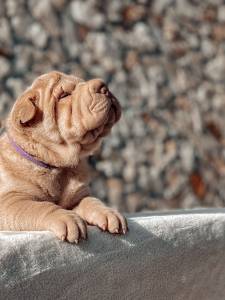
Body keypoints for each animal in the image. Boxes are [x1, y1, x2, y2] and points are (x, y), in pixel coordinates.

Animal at [0, 71, 127, 244]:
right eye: (64, 95)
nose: (103, 87)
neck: (57, 166)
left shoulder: (78, 196)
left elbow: (91, 201)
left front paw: (109, 212)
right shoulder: (10, 200)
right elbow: (40, 207)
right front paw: (67, 219)